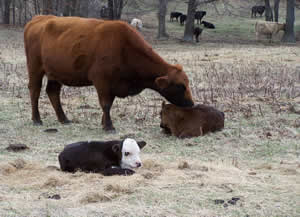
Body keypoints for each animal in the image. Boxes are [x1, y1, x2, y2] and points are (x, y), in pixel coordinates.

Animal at [22, 15, 192, 131]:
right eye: (181, 86)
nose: (191, 104)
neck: (124, 47)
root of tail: (39, 18)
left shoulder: (113, 85)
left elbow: (109, 103)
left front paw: (104, 123)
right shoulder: (101, 80)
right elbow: (106, 104)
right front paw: (109, 126)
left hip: (55, 73)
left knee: (52, 92)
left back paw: (64, 119)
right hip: (35, 68)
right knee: (35, 91)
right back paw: (36, 119)